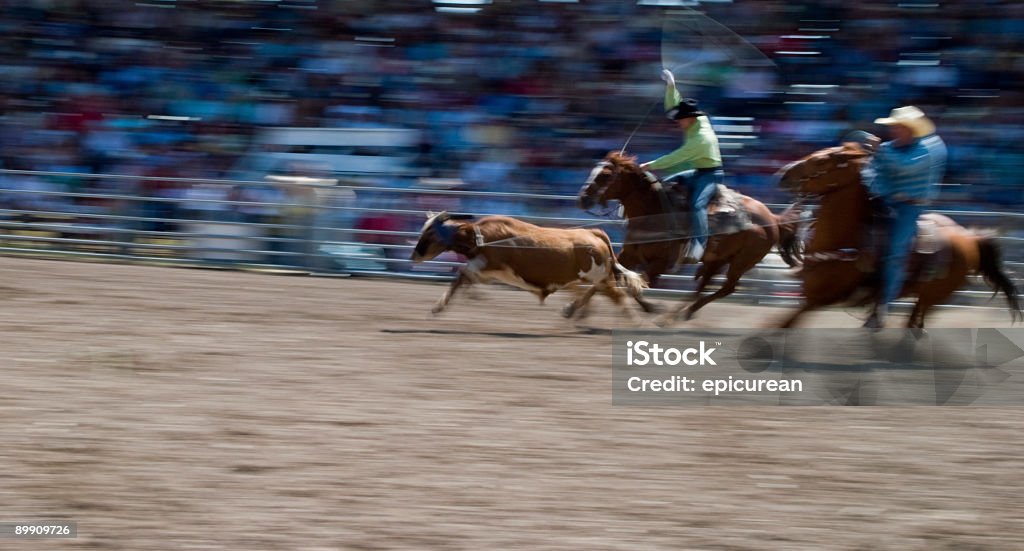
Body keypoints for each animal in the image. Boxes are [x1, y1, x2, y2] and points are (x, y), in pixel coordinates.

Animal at [409, 209, 643, 317]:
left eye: (430, 233)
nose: (414, 256)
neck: (480, 235)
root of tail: (594, 233)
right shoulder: (486, 269)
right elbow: (466, 278)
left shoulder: (488, 262)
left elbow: (462, 274)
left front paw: (438, 306)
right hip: (586, 277)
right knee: (589, 293)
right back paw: (573, 312)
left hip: (600, 276)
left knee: (617, 296)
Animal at [581, 150, 802, 321]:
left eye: (605, 175)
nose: (582, 199)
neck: (654, 211)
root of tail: (772, 218)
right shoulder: (630, 253)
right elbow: (609, 277)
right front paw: (578, 309)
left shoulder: (662, 263)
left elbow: (635, 283)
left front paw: (651, 307)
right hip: (718, 259)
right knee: (705, 285)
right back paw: (680, 314)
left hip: (742, 261)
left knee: (727, 288)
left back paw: (676, 316)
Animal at [770, 141, 1019, 325]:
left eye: (821, 161)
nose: (783, 174)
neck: (843, 239)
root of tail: (969, 239)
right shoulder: (809, 292)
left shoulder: (823, 297)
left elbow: (783, 324)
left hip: (933, 295)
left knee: (915, 321)